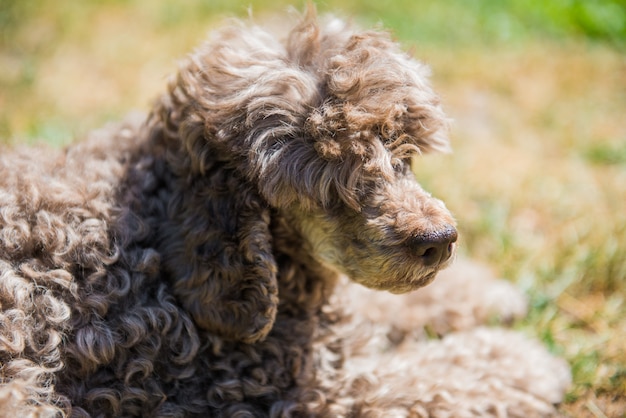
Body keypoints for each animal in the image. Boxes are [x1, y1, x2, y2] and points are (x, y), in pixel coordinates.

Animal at [0, 9, 568, 418]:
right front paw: (525, 361)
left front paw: (485, 293)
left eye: (400, 149)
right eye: (326, 176)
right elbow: (438, 378)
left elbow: (382, 306)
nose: (439, 240)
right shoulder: (309, 392)